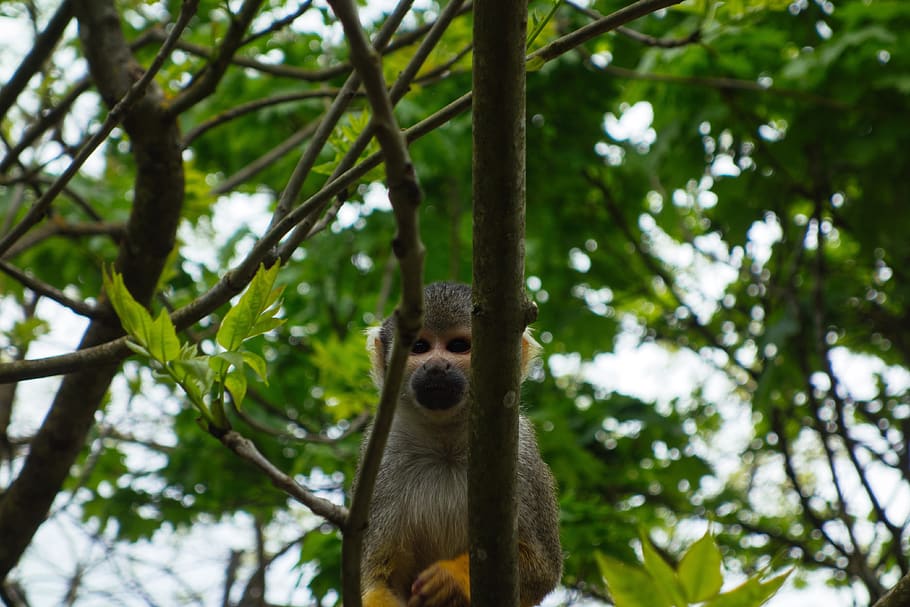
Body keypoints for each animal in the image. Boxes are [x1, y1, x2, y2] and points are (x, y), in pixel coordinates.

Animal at [360, 281, 562, 607]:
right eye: (420, 348)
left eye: (457, 346)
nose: (435, 366)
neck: (445, 445)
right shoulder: (381, 459)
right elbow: (377, 579)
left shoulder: (522, 456)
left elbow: (542, 569)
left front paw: (451, 578)